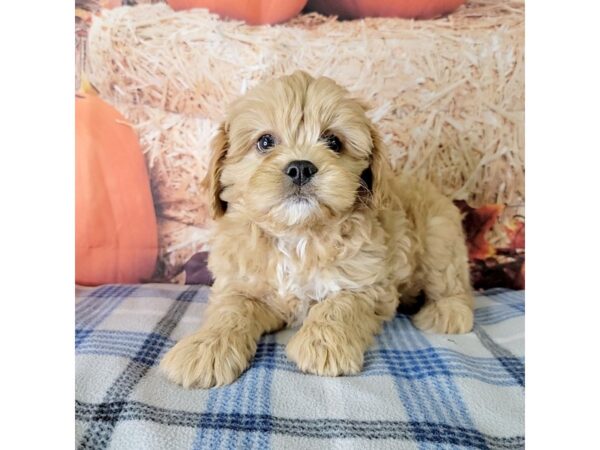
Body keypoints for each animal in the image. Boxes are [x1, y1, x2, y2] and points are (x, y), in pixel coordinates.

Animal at [159, 72, 474, 388]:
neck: (297, 234)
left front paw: (322, 345)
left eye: (334, 141)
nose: (300, 167)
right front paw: (206, 347)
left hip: (439, 238)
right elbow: (230, 310)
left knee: (453, 286)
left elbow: (339, 306)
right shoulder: (240, 285)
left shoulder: (368, 284)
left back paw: (446, 312)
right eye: (265, 142)